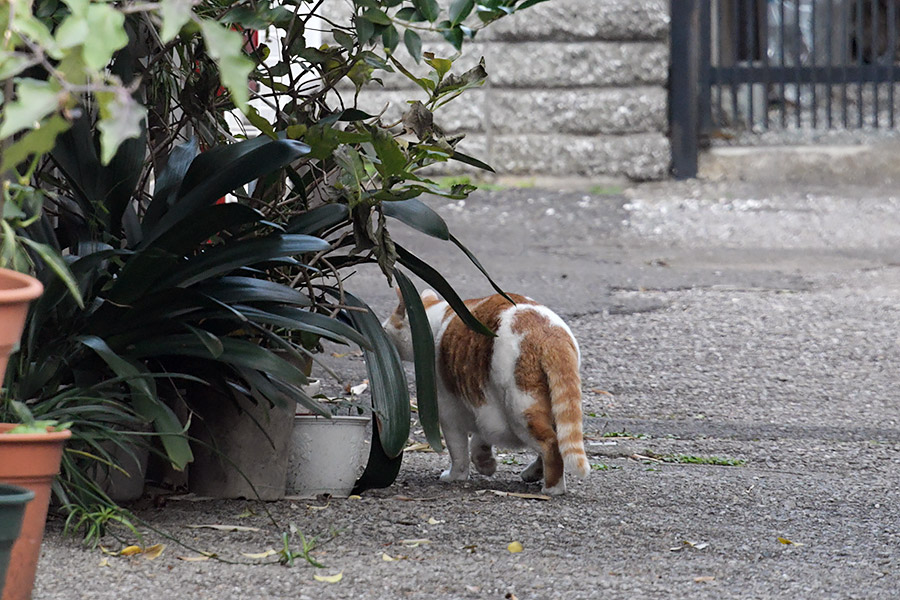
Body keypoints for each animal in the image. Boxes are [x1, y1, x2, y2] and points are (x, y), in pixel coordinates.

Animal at [382, 288, 588, 494]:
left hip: (519, 410)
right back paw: (534, 473)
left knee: (551, 444)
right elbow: (479, 440)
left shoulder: (449, 412)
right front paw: (486, 463)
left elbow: (459, 452)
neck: (434, 322)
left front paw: (456, 476)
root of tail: (549, 335)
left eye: (385, 328)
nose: (382, 329)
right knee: (558, 440)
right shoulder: (485, 405)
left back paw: (552, 489)